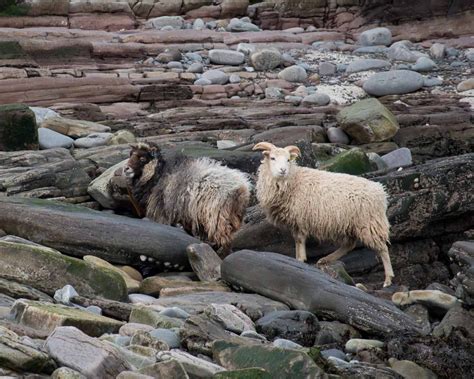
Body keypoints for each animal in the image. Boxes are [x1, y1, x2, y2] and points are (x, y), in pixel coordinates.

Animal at [254, 142, 394, 288]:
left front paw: (300, 260)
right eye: (272, 158)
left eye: (288, 160)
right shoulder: (296, 221)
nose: (283, 170)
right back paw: (325, 260)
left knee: (383, 248)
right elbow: (297, 241)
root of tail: (380, 191)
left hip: (370, 223)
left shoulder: (300, 219)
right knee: (350, 244)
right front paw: (299, 259)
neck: (292, 181)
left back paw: (388, 279)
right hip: (352, 224)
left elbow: (299, 241)